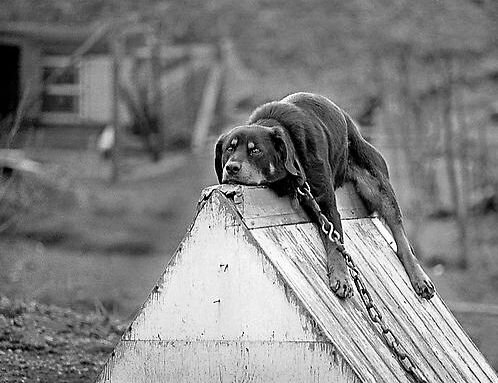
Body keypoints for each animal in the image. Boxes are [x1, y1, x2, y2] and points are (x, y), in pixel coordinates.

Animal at [216, 92, 434, 300]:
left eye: (256, 151)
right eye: (229, 148)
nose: (231, 168)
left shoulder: (326, 205)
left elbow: (335, 243)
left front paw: (341, 278)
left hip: (378, 185)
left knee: (400, 234)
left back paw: (419, 278)